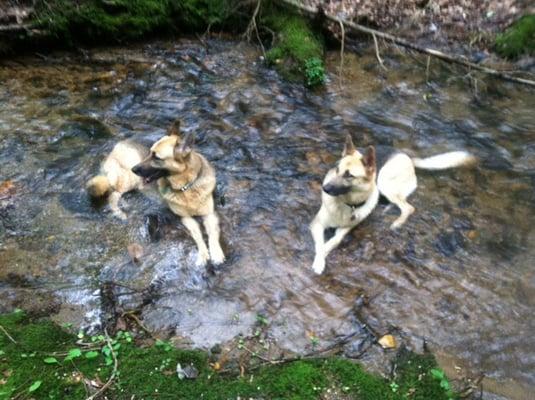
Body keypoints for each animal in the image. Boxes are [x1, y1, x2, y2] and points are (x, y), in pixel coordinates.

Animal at [134, 123, 226, 268]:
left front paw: (216, 253)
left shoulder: (209, 214)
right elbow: (197, 234)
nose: (133, 169)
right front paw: (203, 254)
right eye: (150, 153)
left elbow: (212, 234)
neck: (186, 187)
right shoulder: (186, 218)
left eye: (156, 157)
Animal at [310, 134, 478, 276]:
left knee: (408, 207)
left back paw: (397, 223)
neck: (347, 203)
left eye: (349, 175)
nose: (324, 188)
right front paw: (320, 260)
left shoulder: (344, 230)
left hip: (383, 180)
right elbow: (320, 244)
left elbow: (333, 241)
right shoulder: (317, 224)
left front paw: (321, 258)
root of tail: (406, 156)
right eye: (337, 169)